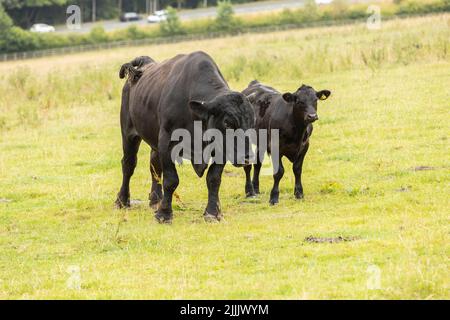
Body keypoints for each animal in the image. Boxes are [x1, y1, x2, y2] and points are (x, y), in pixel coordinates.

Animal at [115, 52, 256, 222]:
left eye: (252, 122)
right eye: (227, 123)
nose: (247, 157)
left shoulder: (220, 150)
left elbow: (214, 179)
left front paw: (212, 212)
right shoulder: (167, 141)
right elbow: (171, 180)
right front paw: (164, 214)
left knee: (154, 165)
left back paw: (155, 199)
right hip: (129, 133)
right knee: (128, 164)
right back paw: (122, 200)